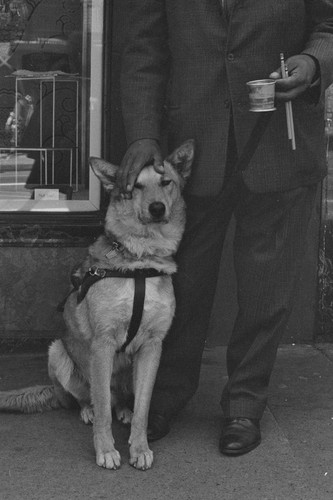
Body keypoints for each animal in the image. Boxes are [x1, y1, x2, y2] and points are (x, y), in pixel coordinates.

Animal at [0, 140, 195, 468]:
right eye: (135, 186)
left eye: (166, 182)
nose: (157, 208)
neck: (140, 263)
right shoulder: (103, 344)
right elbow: (103, 407)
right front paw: (105, 449)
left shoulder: (153, 346)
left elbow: (144, 408)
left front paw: (139, 447)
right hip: (58, 352)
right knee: (90, 398)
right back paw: (87, 410)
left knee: (122, 401)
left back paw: (125, 410)